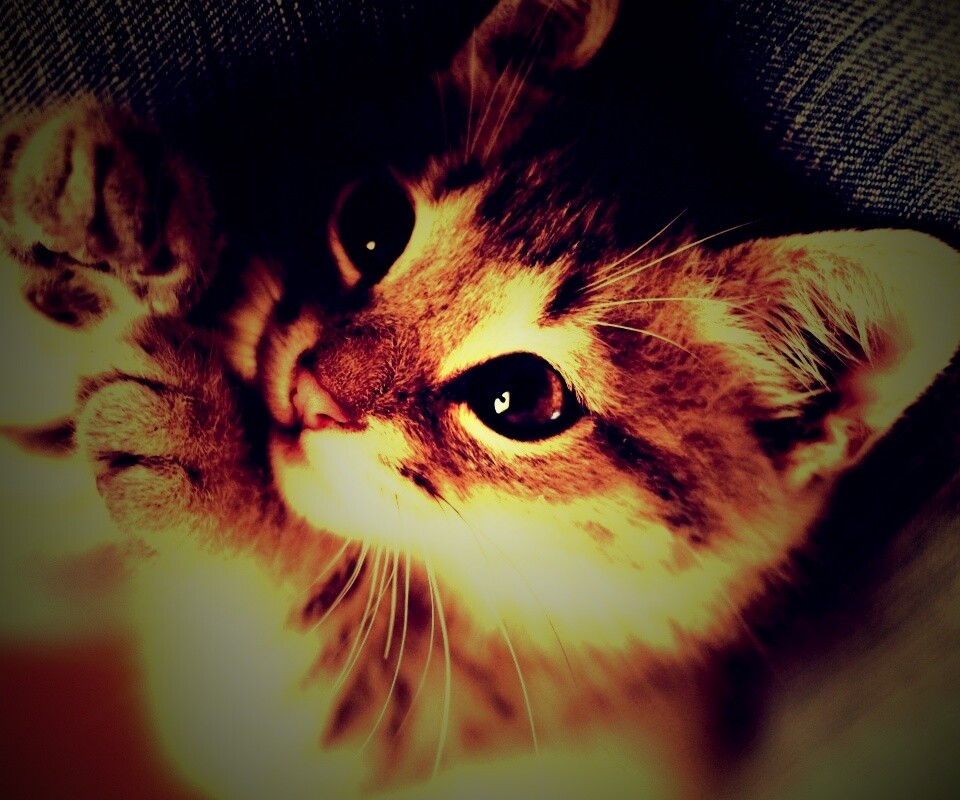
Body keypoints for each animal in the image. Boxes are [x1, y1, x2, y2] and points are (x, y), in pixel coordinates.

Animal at [1, 0, 959, 798]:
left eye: (520, 398)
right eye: (372, 224)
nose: (310, 388)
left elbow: (299, 649)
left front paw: (209, 464)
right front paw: (94, 224)